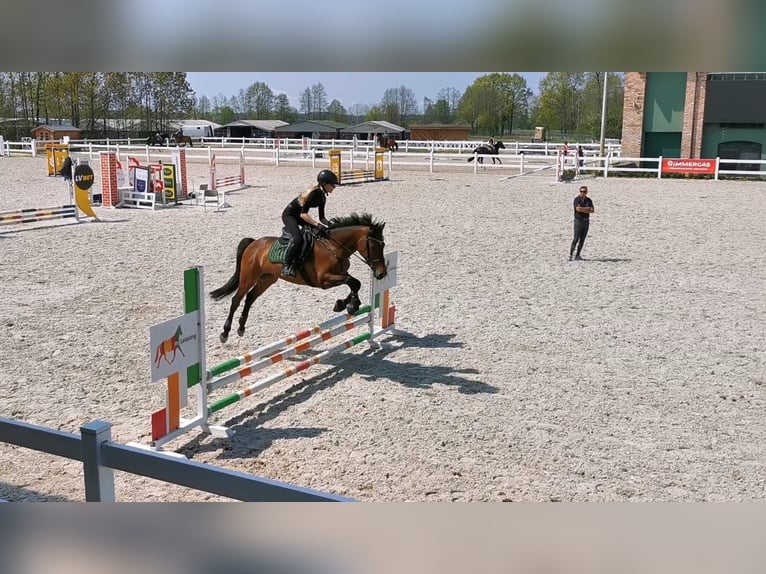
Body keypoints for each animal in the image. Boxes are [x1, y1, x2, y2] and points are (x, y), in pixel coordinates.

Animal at [209, 212, 388, 344]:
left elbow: (355, 283)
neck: (334, 247)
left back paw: (241, 328)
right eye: (374, 245)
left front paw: (344, 304)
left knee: (250, 297)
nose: (382, 274)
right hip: (248, 278)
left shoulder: (340, 275)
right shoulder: (324, 280)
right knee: (236, 299)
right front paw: (351, 305)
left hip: (267, 279)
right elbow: (353, 282)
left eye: (383, 245)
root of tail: (253, 244)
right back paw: (225, 333)